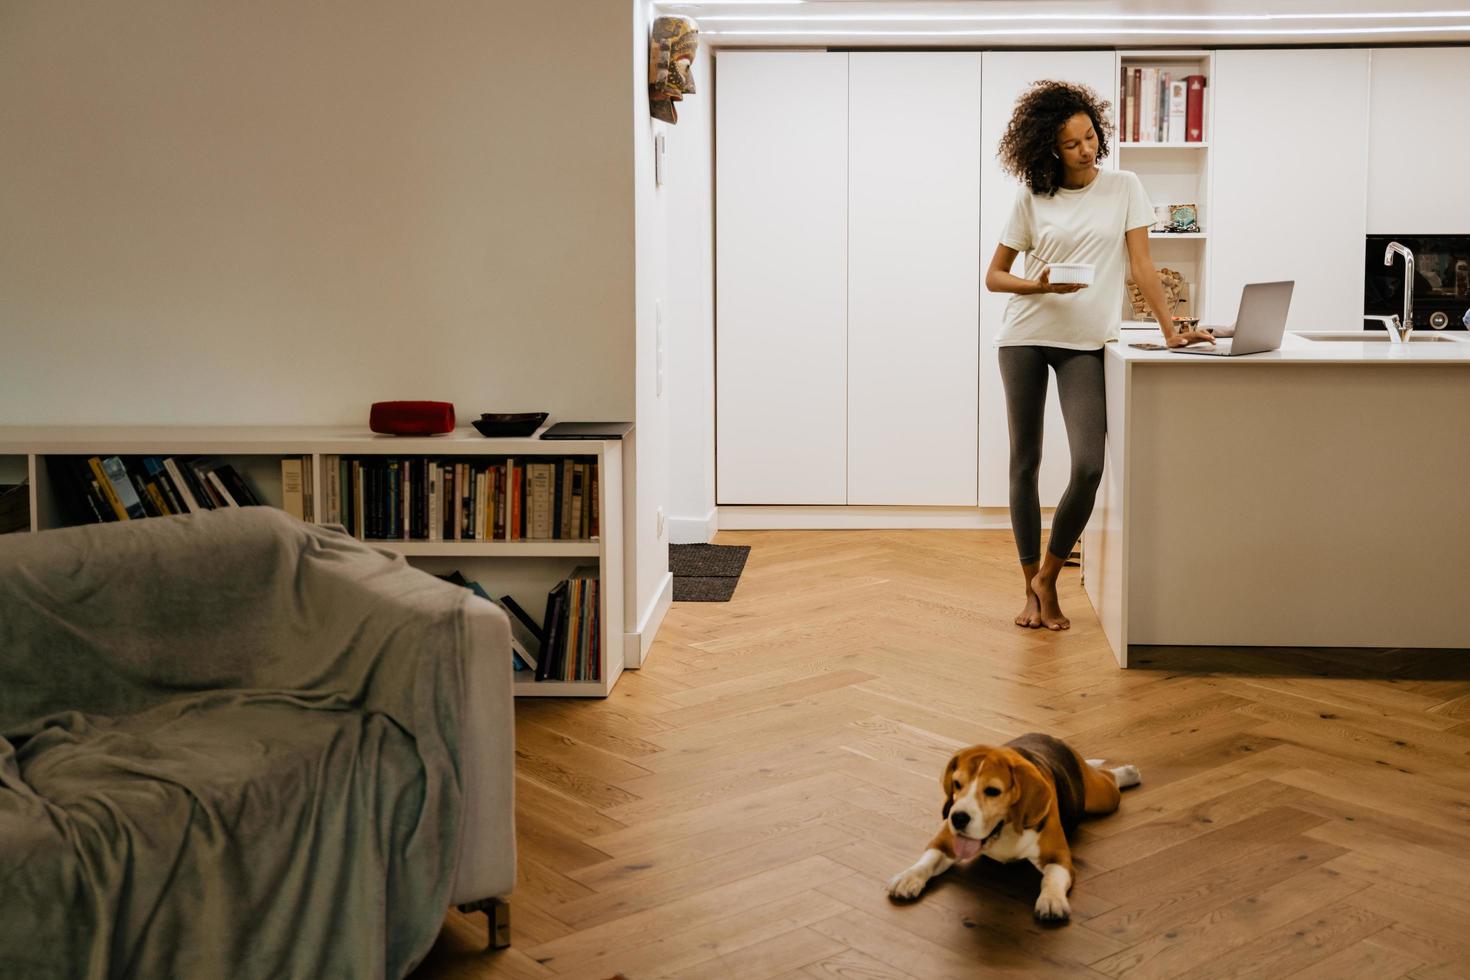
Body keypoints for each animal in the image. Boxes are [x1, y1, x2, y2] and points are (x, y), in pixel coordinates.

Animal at [882, 731, 1134, 922]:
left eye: (992, 791)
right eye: (957, 784)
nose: (958, 818)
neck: (1004, 830)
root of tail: (1049, 737)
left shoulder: (1058, 856)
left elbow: (1051, 878)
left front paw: (1051, 900)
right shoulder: (944, 842)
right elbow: (928, 859)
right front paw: (908, 877)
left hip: (1102, 797)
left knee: (1109, 777)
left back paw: (1128, 773)